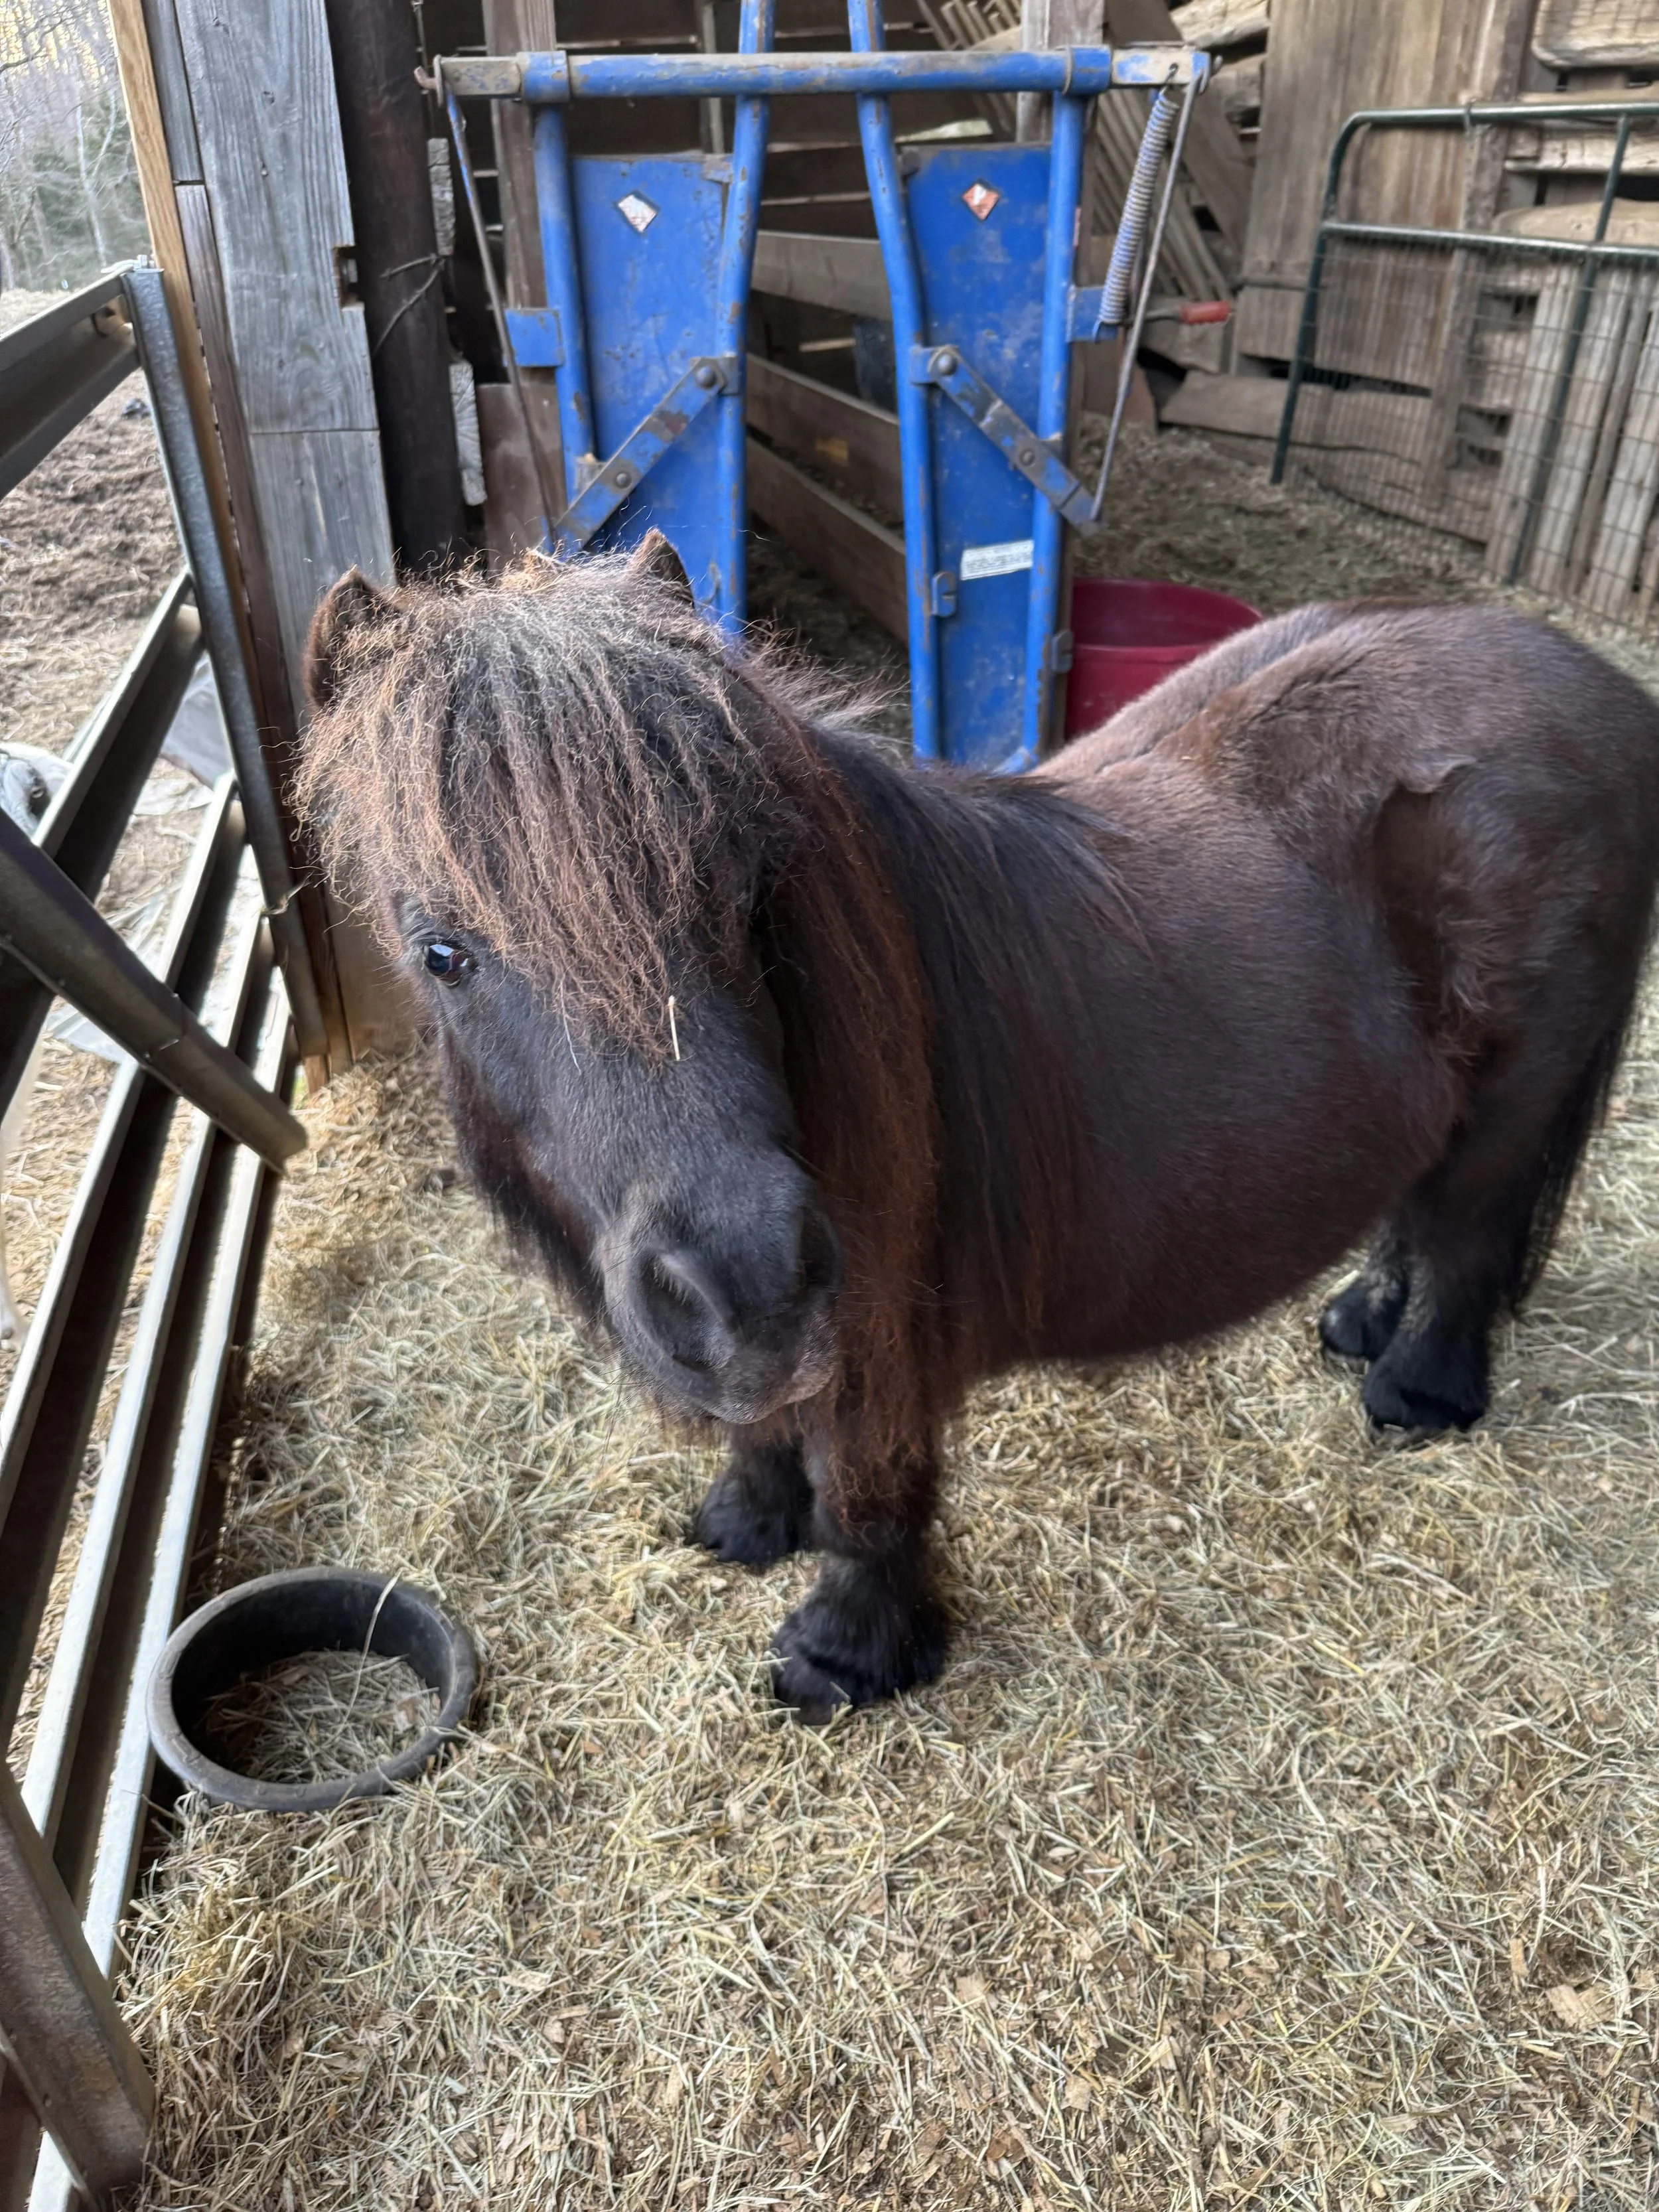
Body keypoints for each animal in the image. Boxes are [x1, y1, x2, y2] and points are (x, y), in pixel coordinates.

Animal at [297, 537, 1659, 1719]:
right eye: (443, 950)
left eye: (745, 893)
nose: (745, 1278)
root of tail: (1593, 683)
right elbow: (766, 1422)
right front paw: (746, 1521)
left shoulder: (880, 1328)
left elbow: (869, 1491)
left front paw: (845, 1654)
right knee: (1415, 1208)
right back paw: (1358, 1320)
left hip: (1515, 1095)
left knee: (1467, 1232)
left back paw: (1415, 1389)